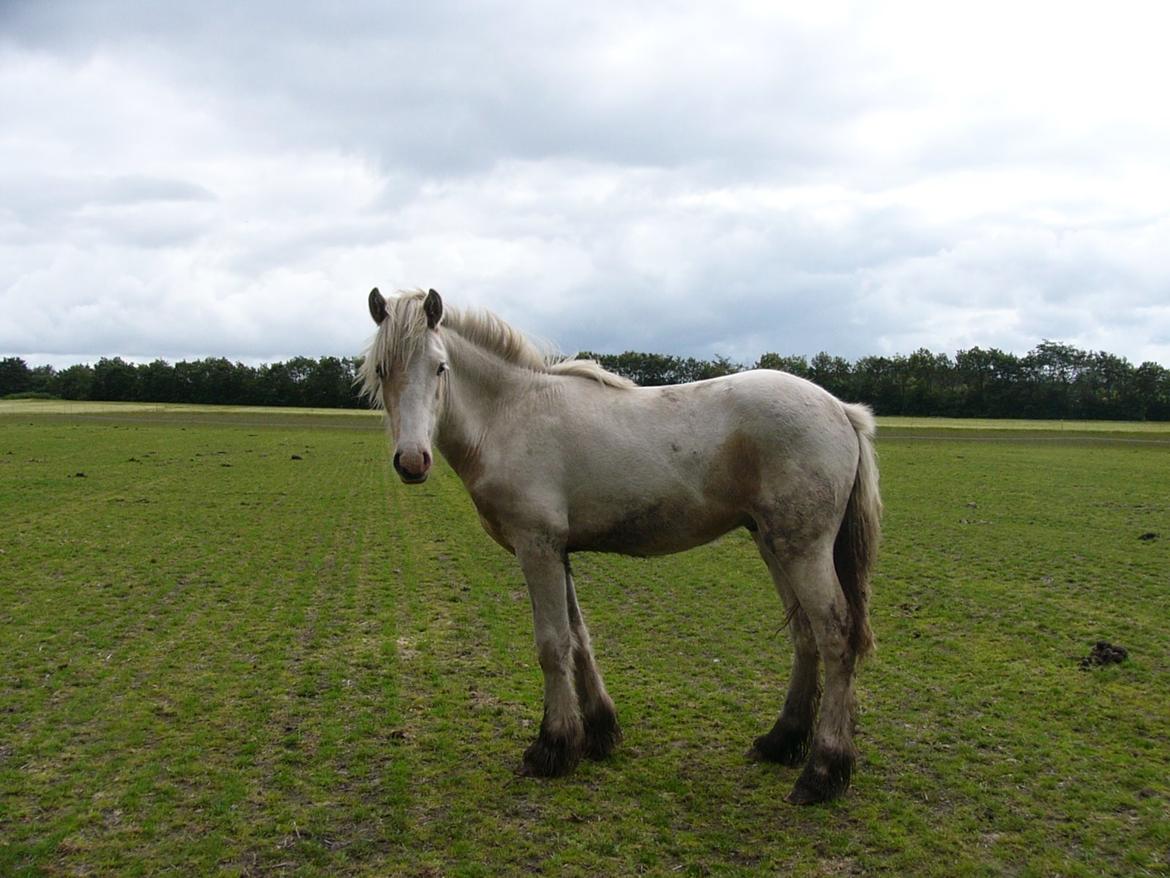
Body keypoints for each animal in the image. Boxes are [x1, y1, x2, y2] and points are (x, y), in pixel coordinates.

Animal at [355, 289, 879, 805]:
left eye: (440, 368)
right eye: (382, 369)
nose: (412, 461)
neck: (510, 416)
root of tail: (840, 408)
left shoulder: (537, 548)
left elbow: (552, 644)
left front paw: (552, 747)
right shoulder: (559, 551)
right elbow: (578, 638)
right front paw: (597, 732)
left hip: (803, 549)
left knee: (835, 635)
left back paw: (823, 772)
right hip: (773, 542)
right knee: (805, 635)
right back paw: (781, 741)